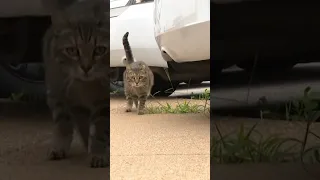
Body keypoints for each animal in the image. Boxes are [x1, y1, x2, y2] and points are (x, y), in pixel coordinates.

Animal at [42, 0, 112, 168]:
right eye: (72, 50)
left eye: (99, 50)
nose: (86, 67)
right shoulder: (65, 100)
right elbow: (65, 125)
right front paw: (59, 146)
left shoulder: (103, 103)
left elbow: (100, 129)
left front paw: (98, 153)